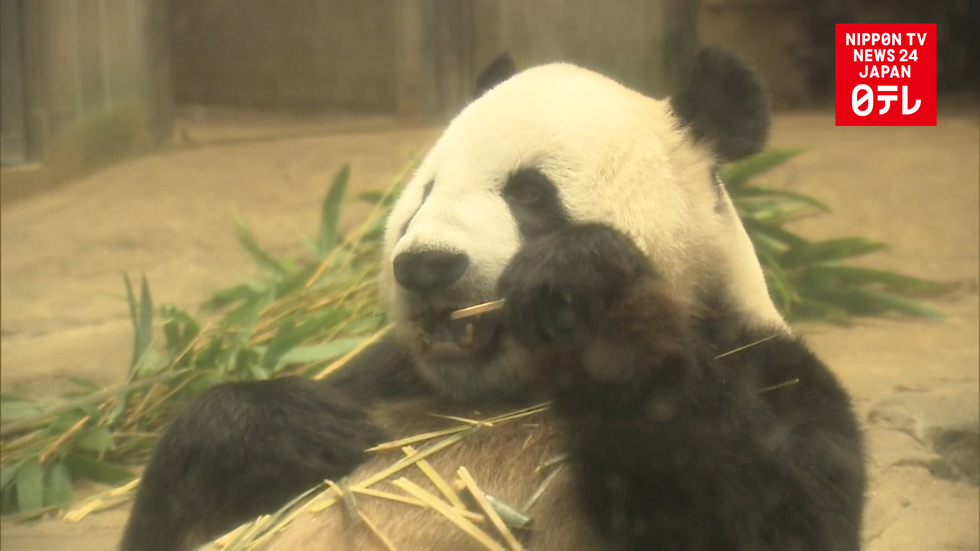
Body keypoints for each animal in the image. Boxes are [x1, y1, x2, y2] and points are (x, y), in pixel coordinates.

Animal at [120, 47, 866, 551]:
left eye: (530, 192)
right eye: (424, 191)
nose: (425, 266)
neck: (501, 394)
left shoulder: (764, 363)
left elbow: (772, 512)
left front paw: (580, 285)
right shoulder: (386, 377)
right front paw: (292, 427)